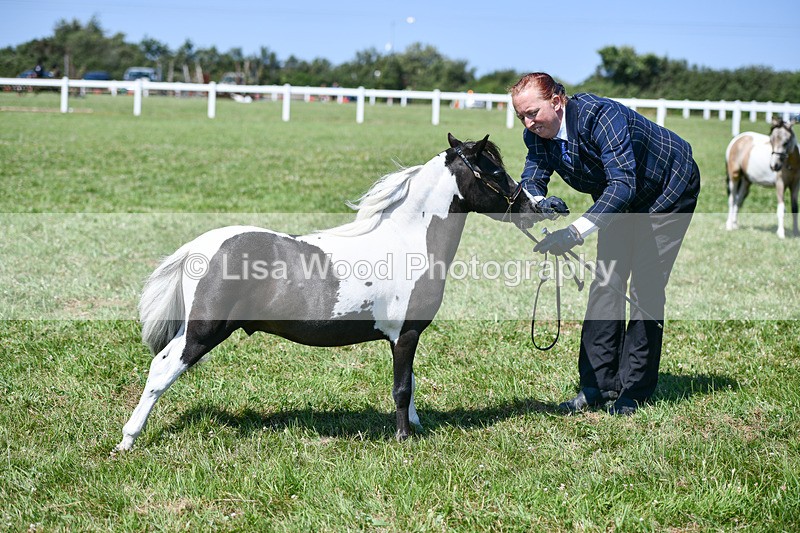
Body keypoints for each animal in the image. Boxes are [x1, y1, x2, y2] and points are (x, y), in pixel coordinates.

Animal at [115, 133, 545, 451]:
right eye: (494, 169)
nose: (534, 206)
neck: (407, 240)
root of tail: (198, 247)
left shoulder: (404, 338)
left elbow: (410, 383)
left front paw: (417, 427)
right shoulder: (405, 334)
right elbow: (402, 388)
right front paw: (404, 438)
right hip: (203, 331)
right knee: (161, 370)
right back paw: (127, 440)